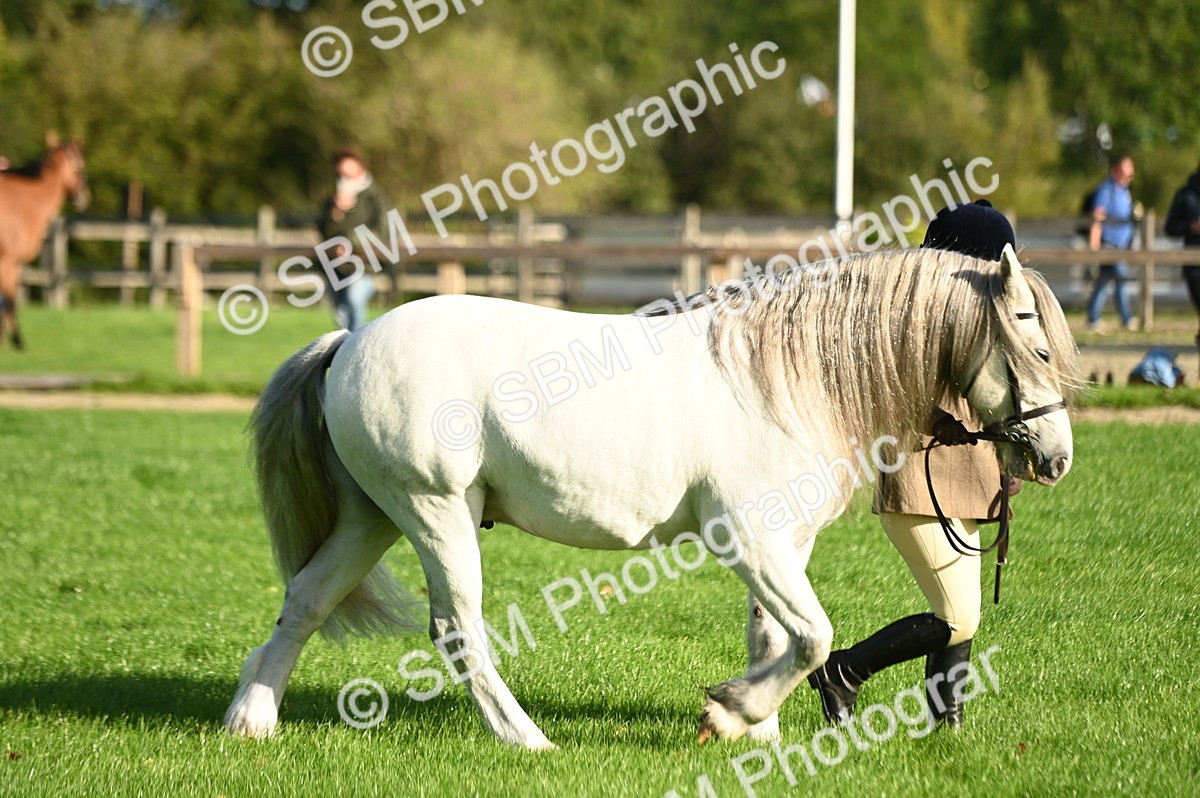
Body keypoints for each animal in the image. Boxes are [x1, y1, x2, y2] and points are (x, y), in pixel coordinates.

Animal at [0, 136, 90, 348]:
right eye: (80, 166)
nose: (85, 197)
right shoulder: (8, 261)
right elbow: (9, 299)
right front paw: (17, 340)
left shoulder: (11, 263)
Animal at [224, 244, 1080, 749]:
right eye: (1038, 346)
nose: (1057, 458)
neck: (787, 376)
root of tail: (349, 342)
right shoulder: (751, 539)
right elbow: (813, 636)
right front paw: (735, 711)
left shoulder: (785, 543)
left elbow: (777, 636)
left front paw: (752, 731)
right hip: (436, 512)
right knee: (456, 628)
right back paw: (526, 739)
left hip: (372, 516)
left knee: (307, 600)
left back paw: (250, 720)